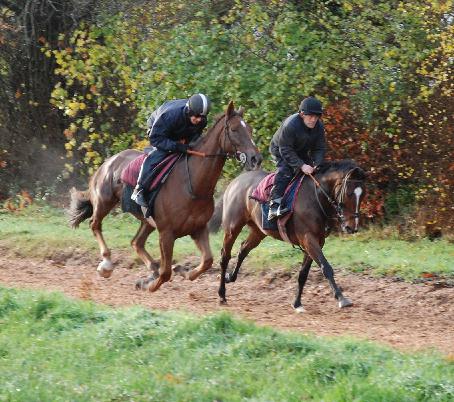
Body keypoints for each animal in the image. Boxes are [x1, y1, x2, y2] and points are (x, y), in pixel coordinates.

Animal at [69, 101, 264, 292]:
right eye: (234, 129)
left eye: (250, 129)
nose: (256, 158)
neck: (193, 185)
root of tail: (109, 161)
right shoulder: (166, 233)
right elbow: (166, 273)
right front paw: (149, 284)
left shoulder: (198, 228)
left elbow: (207, 261)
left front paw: (183, 271)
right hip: (104, 201)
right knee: (95, 224)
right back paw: (107, 264)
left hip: (147, 220)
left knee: (136, 242)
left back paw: (151, 269)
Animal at [215, 160, 368, 310]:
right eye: (349, 193)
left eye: (362, 195)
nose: (352, 227)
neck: (316, 198)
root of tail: (236, 181)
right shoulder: (308, 239)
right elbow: (326, 267)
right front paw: (341, 298)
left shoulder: (317, 241)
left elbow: (303, 274)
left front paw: (297, 303)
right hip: (232, 228)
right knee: (225, 256)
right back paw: (222, 295)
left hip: (258, 231)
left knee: (243, 249)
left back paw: (230, 277)